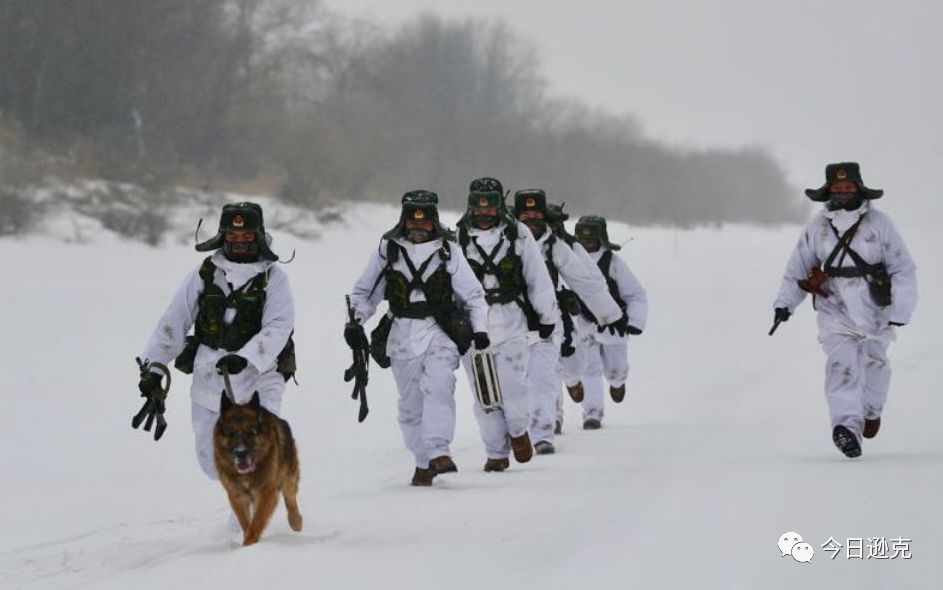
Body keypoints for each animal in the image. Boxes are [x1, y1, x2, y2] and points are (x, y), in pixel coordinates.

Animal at [214, 390, 302, 548]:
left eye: (251, 432)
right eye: (230, 433)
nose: (241, 453)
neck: (247, 474)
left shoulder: (267, 492)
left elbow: (257, 521)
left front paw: (249, 544)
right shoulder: (237, 496)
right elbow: (246, 522)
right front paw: (248, 539)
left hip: (289, 477)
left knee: (290, 499)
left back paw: (296, 522)